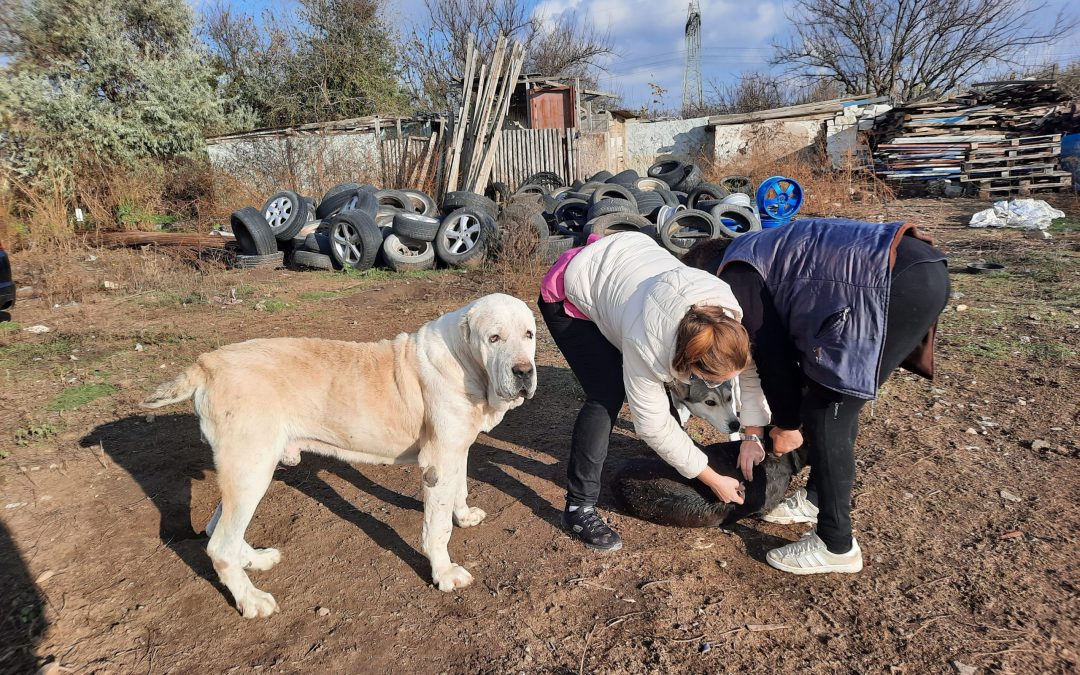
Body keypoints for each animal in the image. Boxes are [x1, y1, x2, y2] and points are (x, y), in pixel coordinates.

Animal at [141, 291, 537, 617]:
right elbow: (436, 529)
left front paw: (464, 515)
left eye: (529, 335)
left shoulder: (457, 449)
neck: (466, 361)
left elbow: (461, 488)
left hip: (247, 466)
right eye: (494, 338)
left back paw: (255, 560)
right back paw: (252, 600)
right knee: (220, 545)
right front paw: (444, 573)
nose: (524, 372)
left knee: (217, 529)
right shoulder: (437, 463)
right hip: (251, 467)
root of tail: (207, 364)